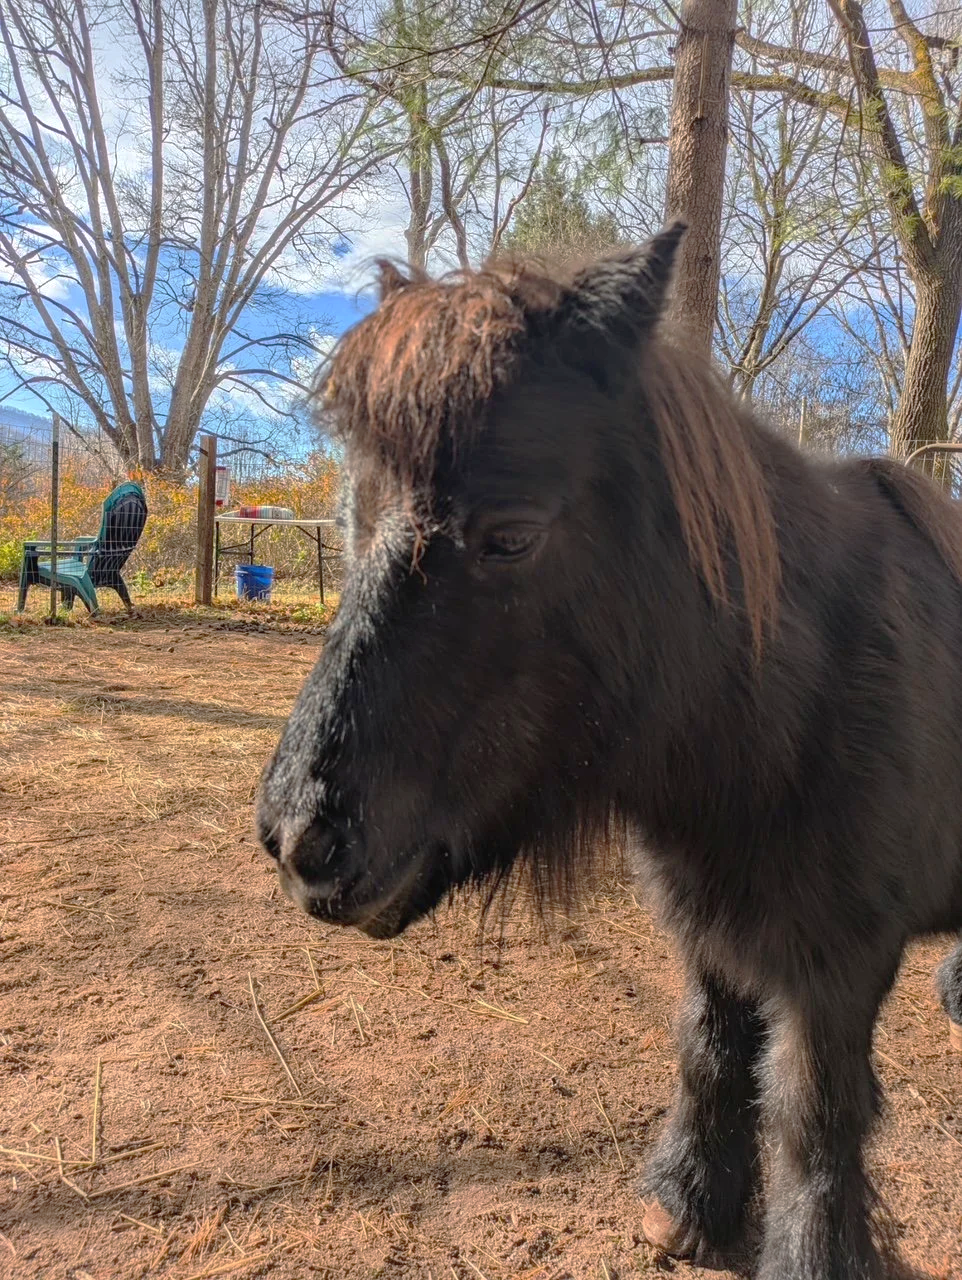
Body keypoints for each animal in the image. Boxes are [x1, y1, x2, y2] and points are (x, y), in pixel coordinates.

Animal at [256, 224, 962, 1280]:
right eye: (352, 517)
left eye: (511, 536)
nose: (300, 839)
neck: (801, 699)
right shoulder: (715, 930)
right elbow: (710, 1049)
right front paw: (687, 1204)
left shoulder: (837, 971)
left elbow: (813, 1117)